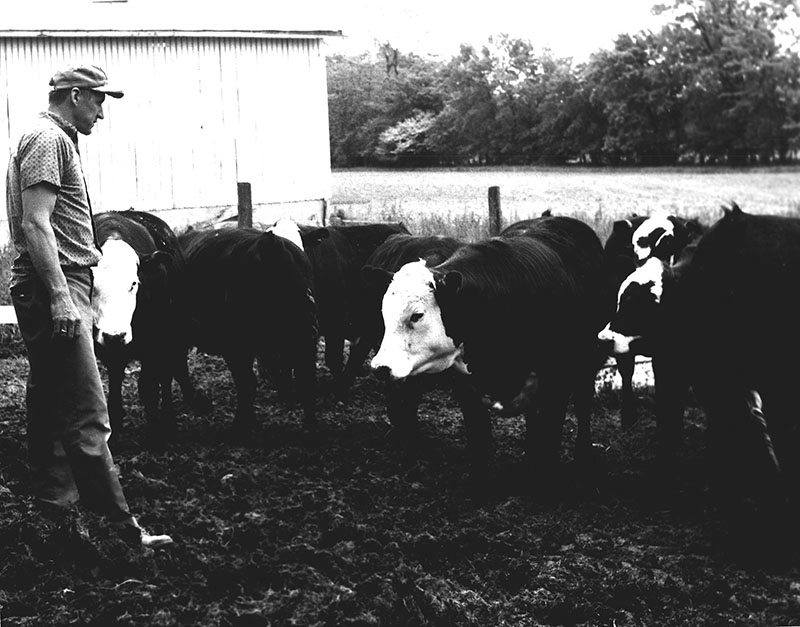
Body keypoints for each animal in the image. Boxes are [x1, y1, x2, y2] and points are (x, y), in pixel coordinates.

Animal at [91, 211, 203, 446]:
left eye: (134, 283)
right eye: (92, 284)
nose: (115, 336)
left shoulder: (155, 342)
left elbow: (150, 387)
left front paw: (158, 433)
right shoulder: (111, 350)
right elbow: (114, 387)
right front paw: (114, 430)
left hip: (174, 331)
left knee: (172, 370)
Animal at [368, 216, 612, 486]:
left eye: (417, 315)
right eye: (384, 312)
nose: (381, 366)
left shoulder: (558, 378)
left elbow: (552, 430)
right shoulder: (466, 384)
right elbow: (479, 434)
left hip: (587, 360)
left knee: (583, 402)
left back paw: (581, 456)